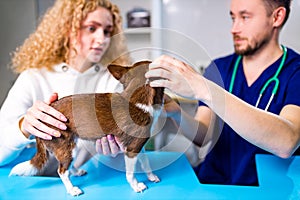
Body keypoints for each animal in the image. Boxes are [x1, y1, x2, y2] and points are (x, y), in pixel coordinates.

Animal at [9, 60, 164, 195]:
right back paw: (72, 190)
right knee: (62, 171)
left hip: (73, 146)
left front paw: (151, 176)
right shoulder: (131, 150)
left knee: (68, 167)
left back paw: (77, 172)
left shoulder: (138, 147)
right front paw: (136, 186)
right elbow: (130, 173)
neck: (137, 98)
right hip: (66, 147)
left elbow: (145, 162)